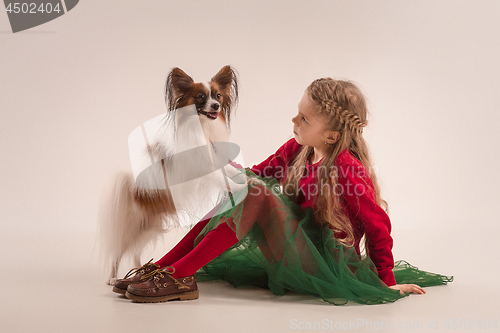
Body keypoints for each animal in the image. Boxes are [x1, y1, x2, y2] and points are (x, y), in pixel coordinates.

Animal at [98, 65, 248, 282]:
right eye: (201, 97)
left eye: (218, 95)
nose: (215, 106)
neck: (202, 128)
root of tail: (131, 188)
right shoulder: (201, 167)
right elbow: (221, 178)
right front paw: (238, 187)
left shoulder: (214, 157)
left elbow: (228, 170)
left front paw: (247, 177)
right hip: (131, 229)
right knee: (118, 251)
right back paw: (112, 278)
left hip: (148, 229)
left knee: (135, 250)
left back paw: (138, 271)